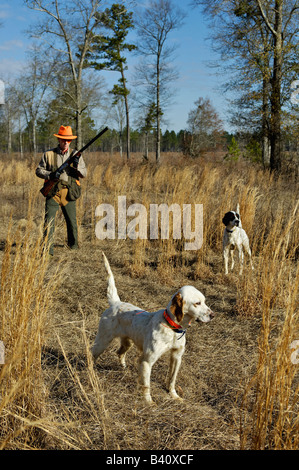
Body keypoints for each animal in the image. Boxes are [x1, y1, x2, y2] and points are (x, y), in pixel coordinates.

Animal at [92, 253, 214, 404]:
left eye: (204, 301)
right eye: (197, 303)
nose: (213, 315)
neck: (172, 329)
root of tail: (116, 303)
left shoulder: (177, 357)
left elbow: (172, 380)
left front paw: (174, 395)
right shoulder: (147, 361)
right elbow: (146, 385)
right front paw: (149, 402)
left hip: (127, 342)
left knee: (119, 353)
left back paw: (123, 367)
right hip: (102, 341)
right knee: (92, 355)